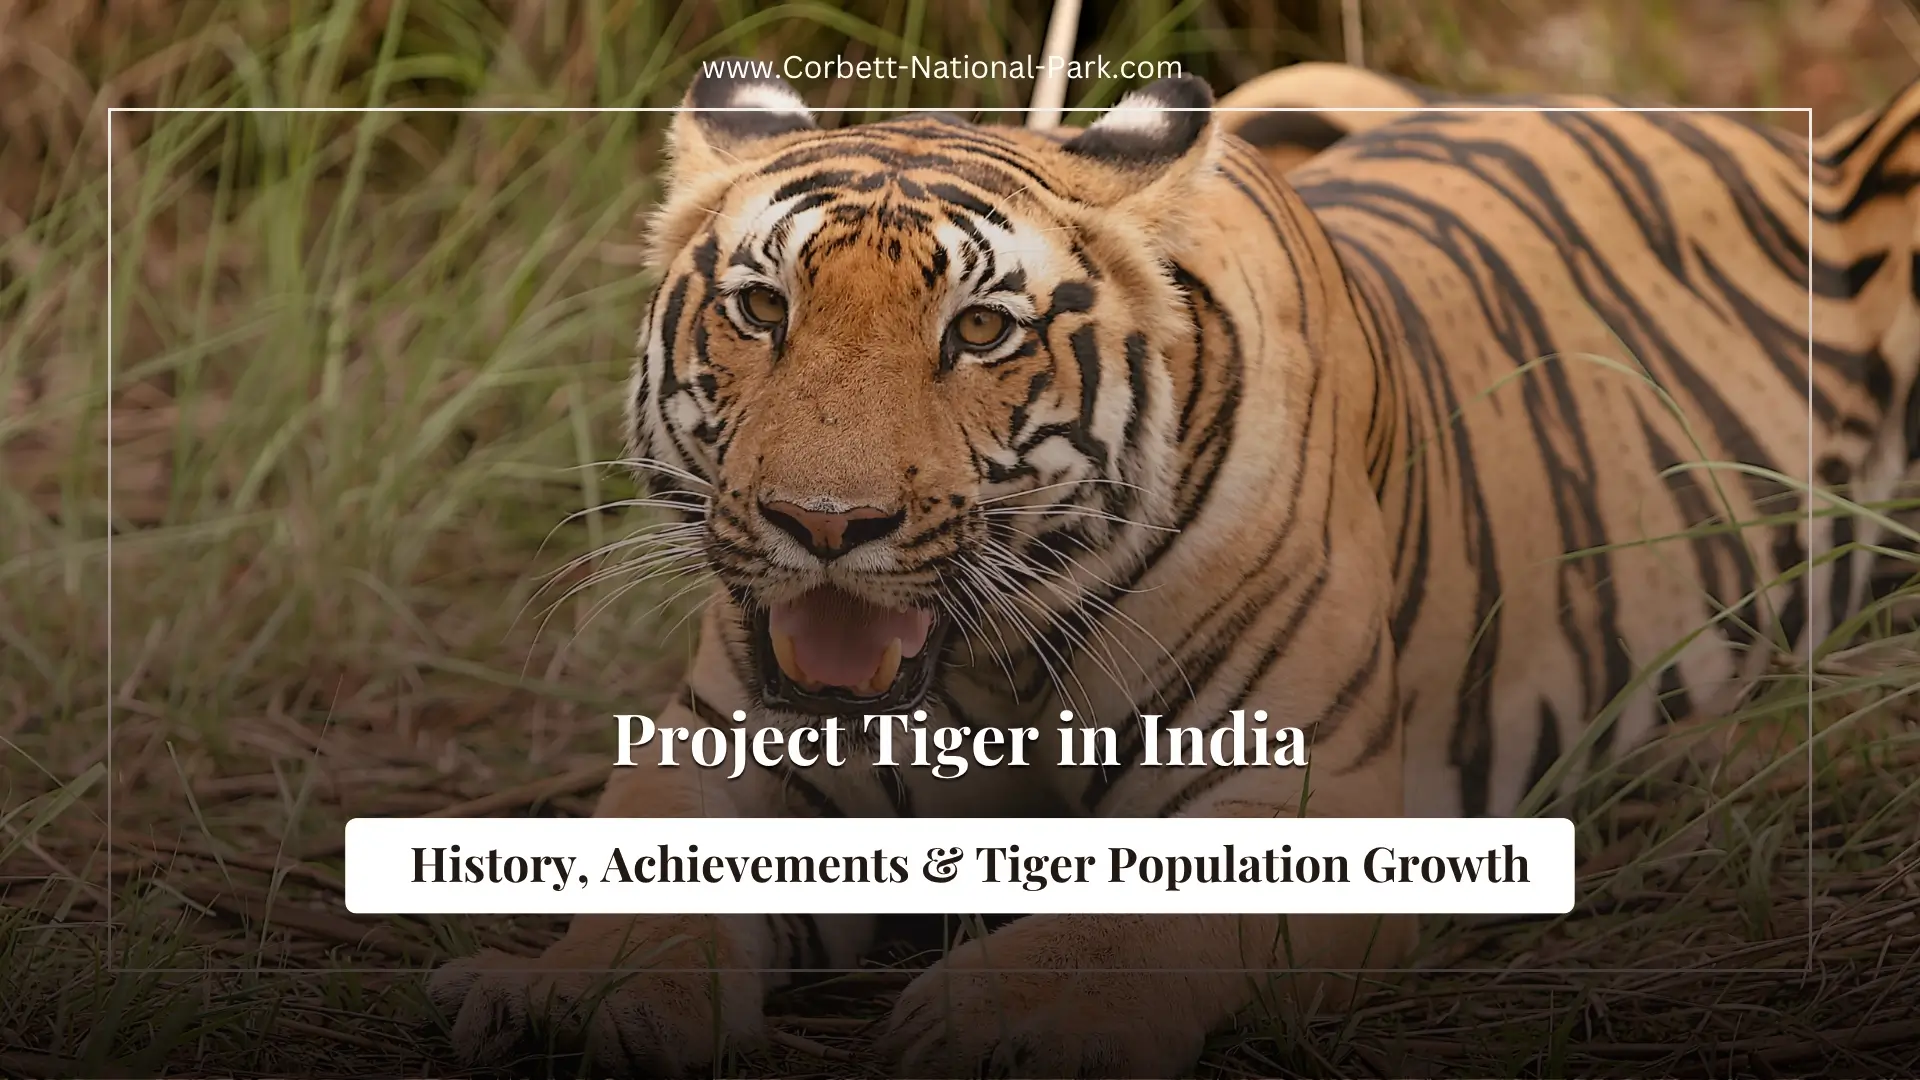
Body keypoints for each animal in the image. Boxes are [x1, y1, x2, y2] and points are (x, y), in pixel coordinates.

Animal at [426, 59, 1920, 1077]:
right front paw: (571, 999)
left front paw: (1011, 1018)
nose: (823, 521)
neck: (986, 678)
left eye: (979, 331)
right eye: (760, 308)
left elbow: (1130, 919)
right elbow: (644, 897)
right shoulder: (725, 756)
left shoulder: (1301, 799)